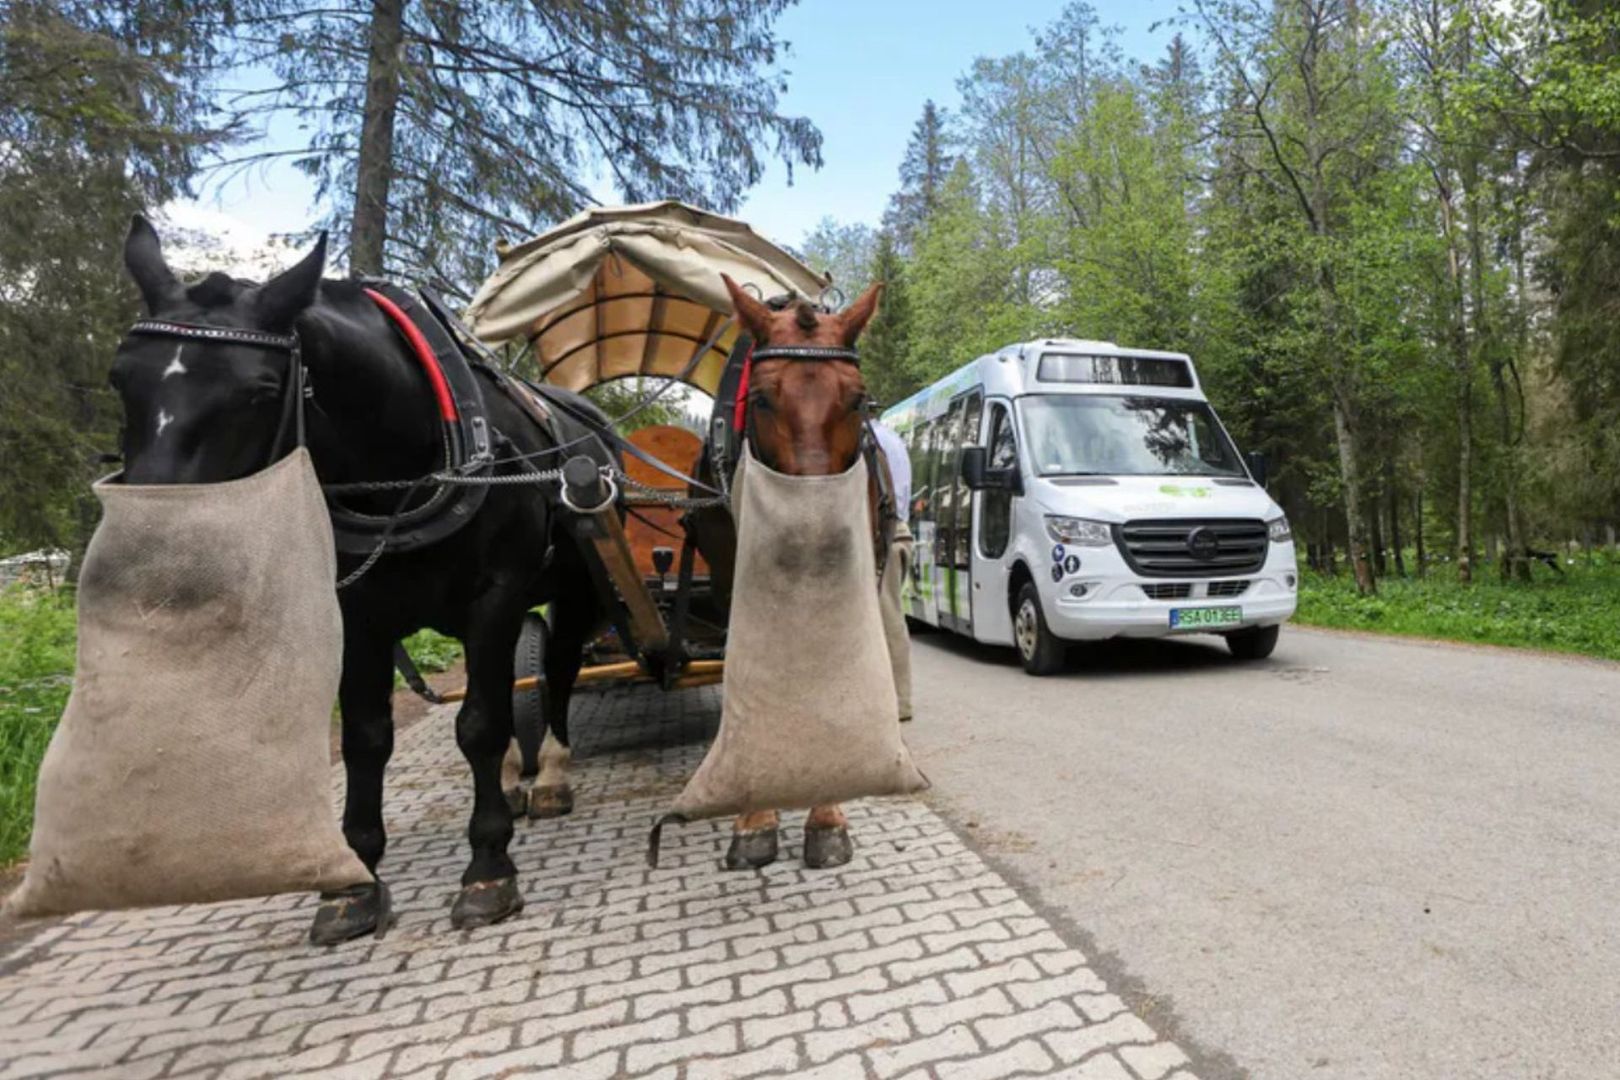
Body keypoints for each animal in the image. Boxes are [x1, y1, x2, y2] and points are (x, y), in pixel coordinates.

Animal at [109, 215, 612, 939]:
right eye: (121, 378)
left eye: (260, 391)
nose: (150, 550)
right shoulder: (357, 614)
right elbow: (366, 739)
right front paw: (356, 880)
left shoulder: (493, 598)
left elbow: (480, 724)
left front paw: (488, 867)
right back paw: (524, 774)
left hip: (573, 589)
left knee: (563, 671)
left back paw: (549, 774)